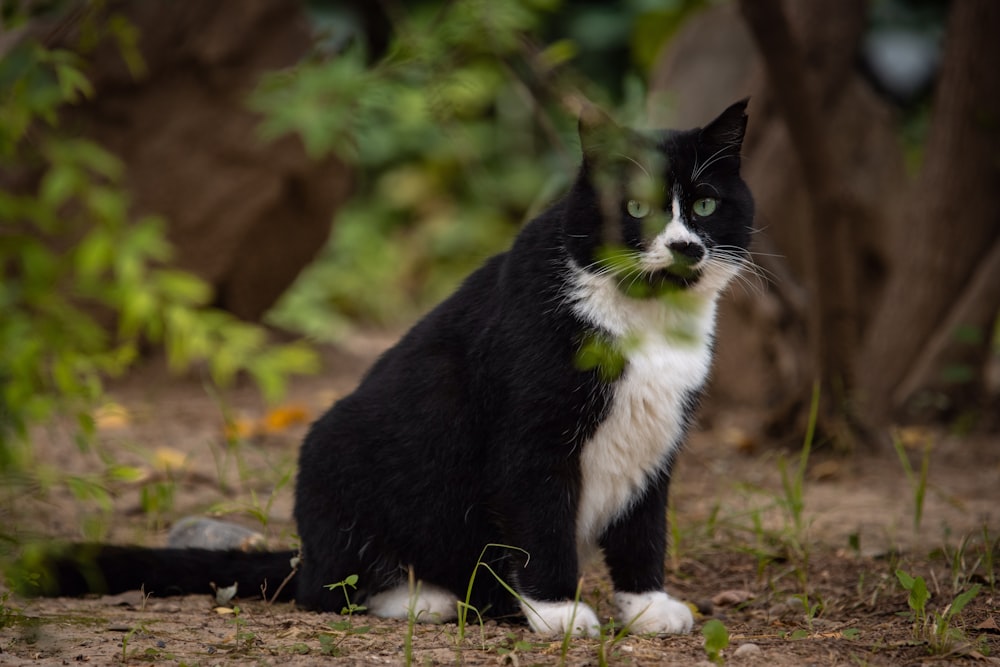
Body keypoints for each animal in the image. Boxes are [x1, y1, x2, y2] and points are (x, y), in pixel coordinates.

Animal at [19, 100, 752, 636]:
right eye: (637, 207)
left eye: (705, 205)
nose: (684, 246)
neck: (648, 323)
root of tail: (303, 551)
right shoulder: (532, 435)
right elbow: (540, 521)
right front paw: (559, 614)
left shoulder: (657, 434)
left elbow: (643, 528)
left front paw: (647, 606)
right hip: (334, 451)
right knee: (325, 589)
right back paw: (420, 597)